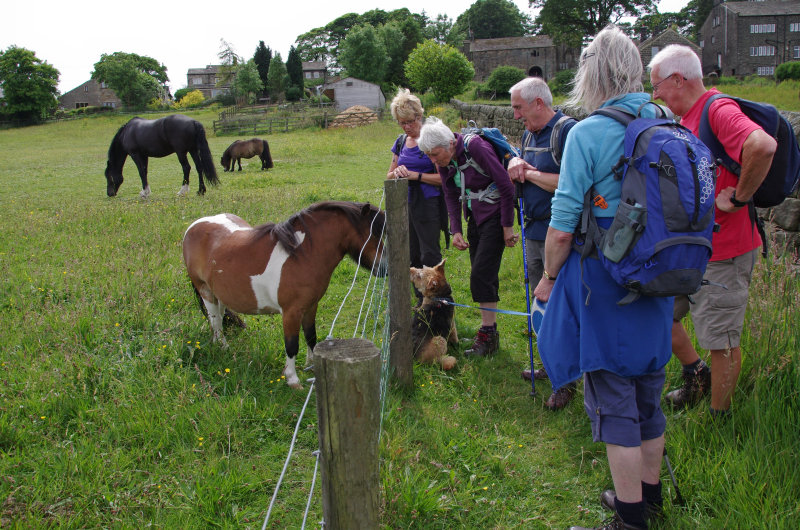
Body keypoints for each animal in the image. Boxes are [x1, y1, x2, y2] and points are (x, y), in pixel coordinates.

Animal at [182, 200, 388, 386]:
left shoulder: (311, 306)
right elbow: (292, 344)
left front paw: (312, 365)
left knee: (218, 317)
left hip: (220, 294)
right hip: (205, 291)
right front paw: (292, 379)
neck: (301, 255)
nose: (385, 268)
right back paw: (223, 347)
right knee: (216, 320)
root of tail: (193, 226)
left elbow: (311, 336)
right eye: (374, 233)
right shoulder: (291, 312)